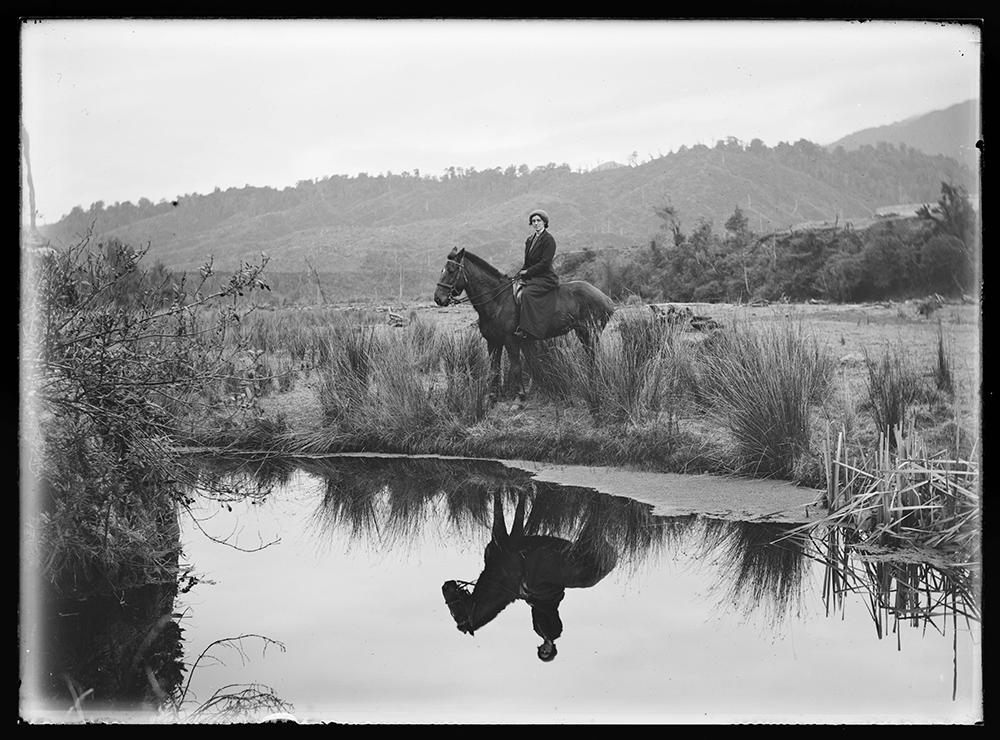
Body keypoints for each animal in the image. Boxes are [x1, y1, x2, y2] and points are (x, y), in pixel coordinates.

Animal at [432, 247, 612, 398]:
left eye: (451, 270)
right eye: (442, 270)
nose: (438, 298)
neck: (497, 299)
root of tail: (605, 298)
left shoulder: (511, 341)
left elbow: (516, 367)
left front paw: (519, 395)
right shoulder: (493, 342)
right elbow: (494, 370)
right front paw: (493, 396)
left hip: (591, 333)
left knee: (595, 357)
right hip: (583, 333)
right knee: (591, 357)